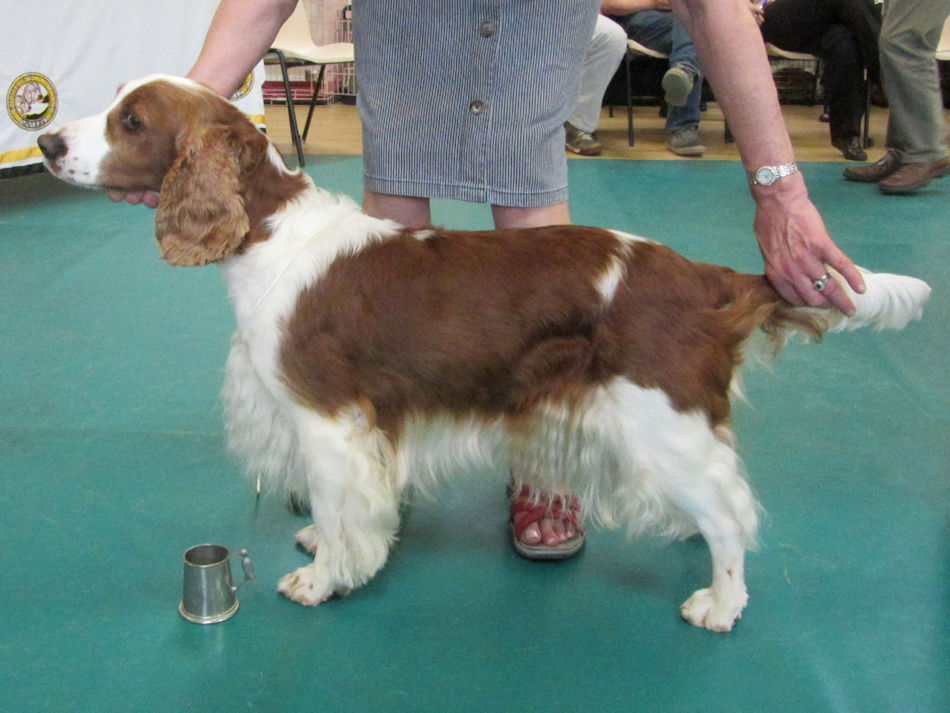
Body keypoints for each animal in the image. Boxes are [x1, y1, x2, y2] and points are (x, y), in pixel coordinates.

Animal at [38, 75, 930, 631]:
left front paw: (324, 577)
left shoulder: (328, 418)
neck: (267, 229)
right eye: (113, 105)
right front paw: (327, 546)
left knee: (730, 512)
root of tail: (697, 274)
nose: (44, 141)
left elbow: (338, 504)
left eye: (131, 121)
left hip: (661, 416)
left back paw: (721, 599)